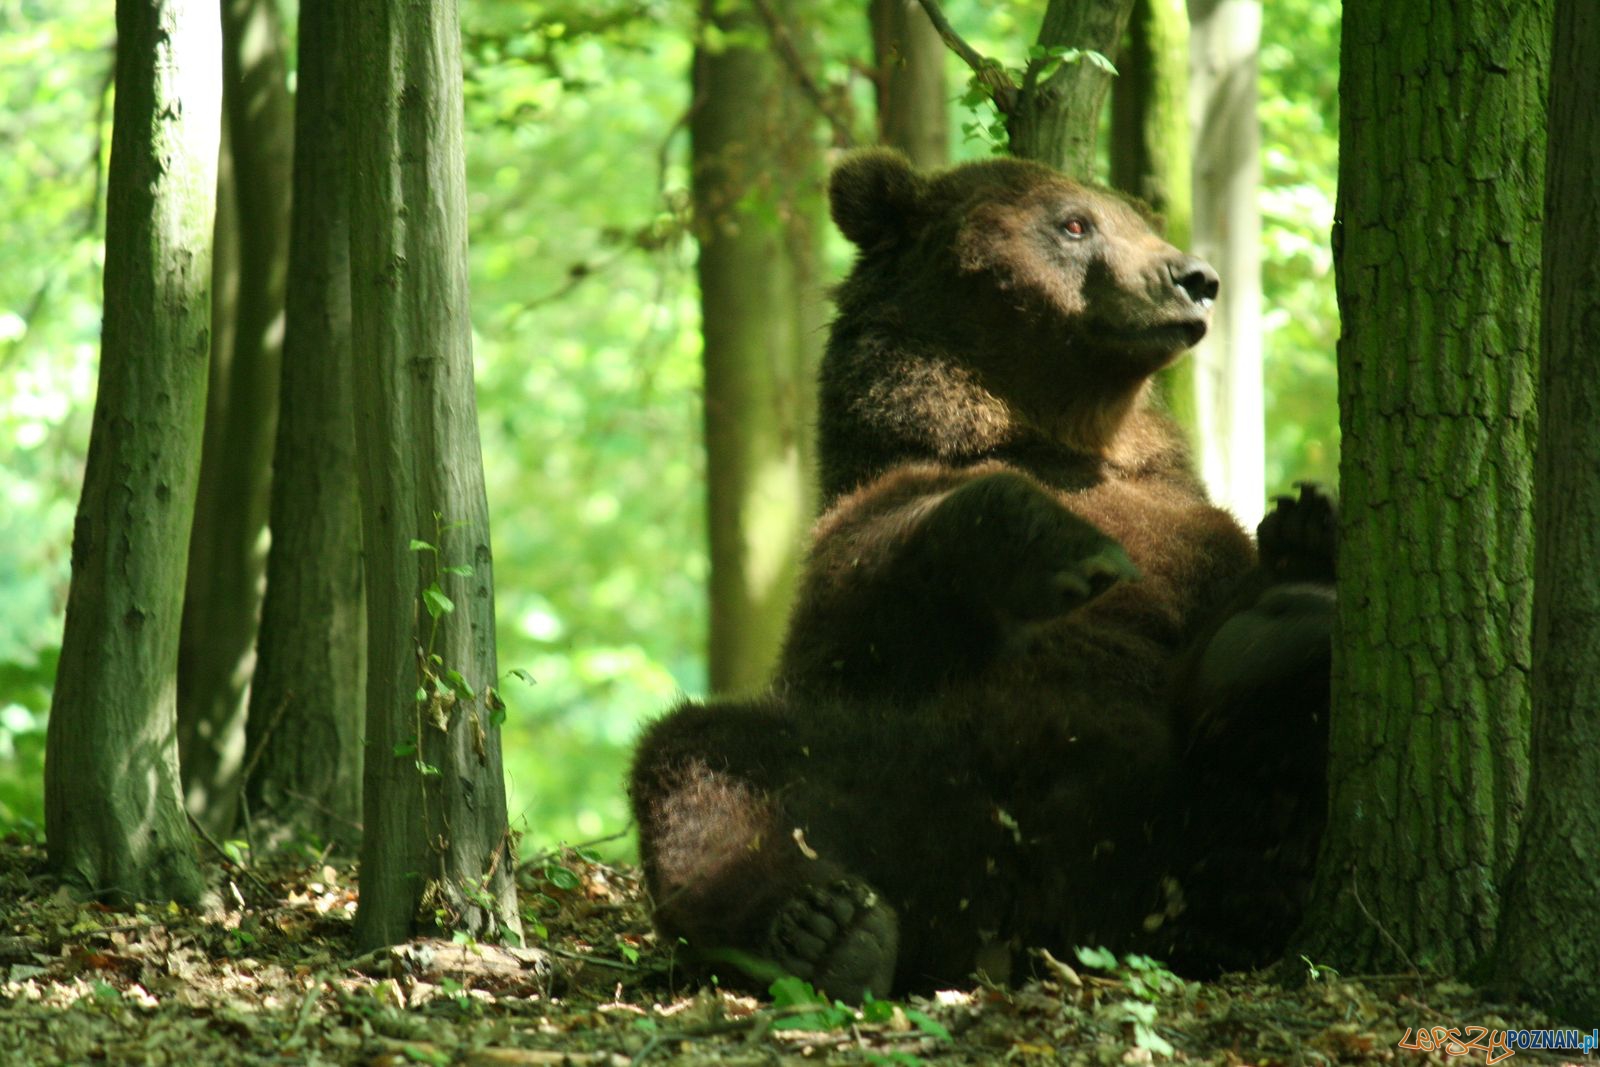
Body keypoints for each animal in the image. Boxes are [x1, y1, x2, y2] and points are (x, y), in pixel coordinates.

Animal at [630, 147, 1331, 1004]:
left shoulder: (1194, 535)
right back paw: (821, 929)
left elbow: (1220, 579)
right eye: (1073, 222)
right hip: (900, 773)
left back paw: (1272, 648)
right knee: (703, 760)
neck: (1057, 436)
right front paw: (1059, 541)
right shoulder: (863, 530)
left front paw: (1305, 531)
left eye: (1136, 215)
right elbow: (876, 595)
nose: (1193, 277)